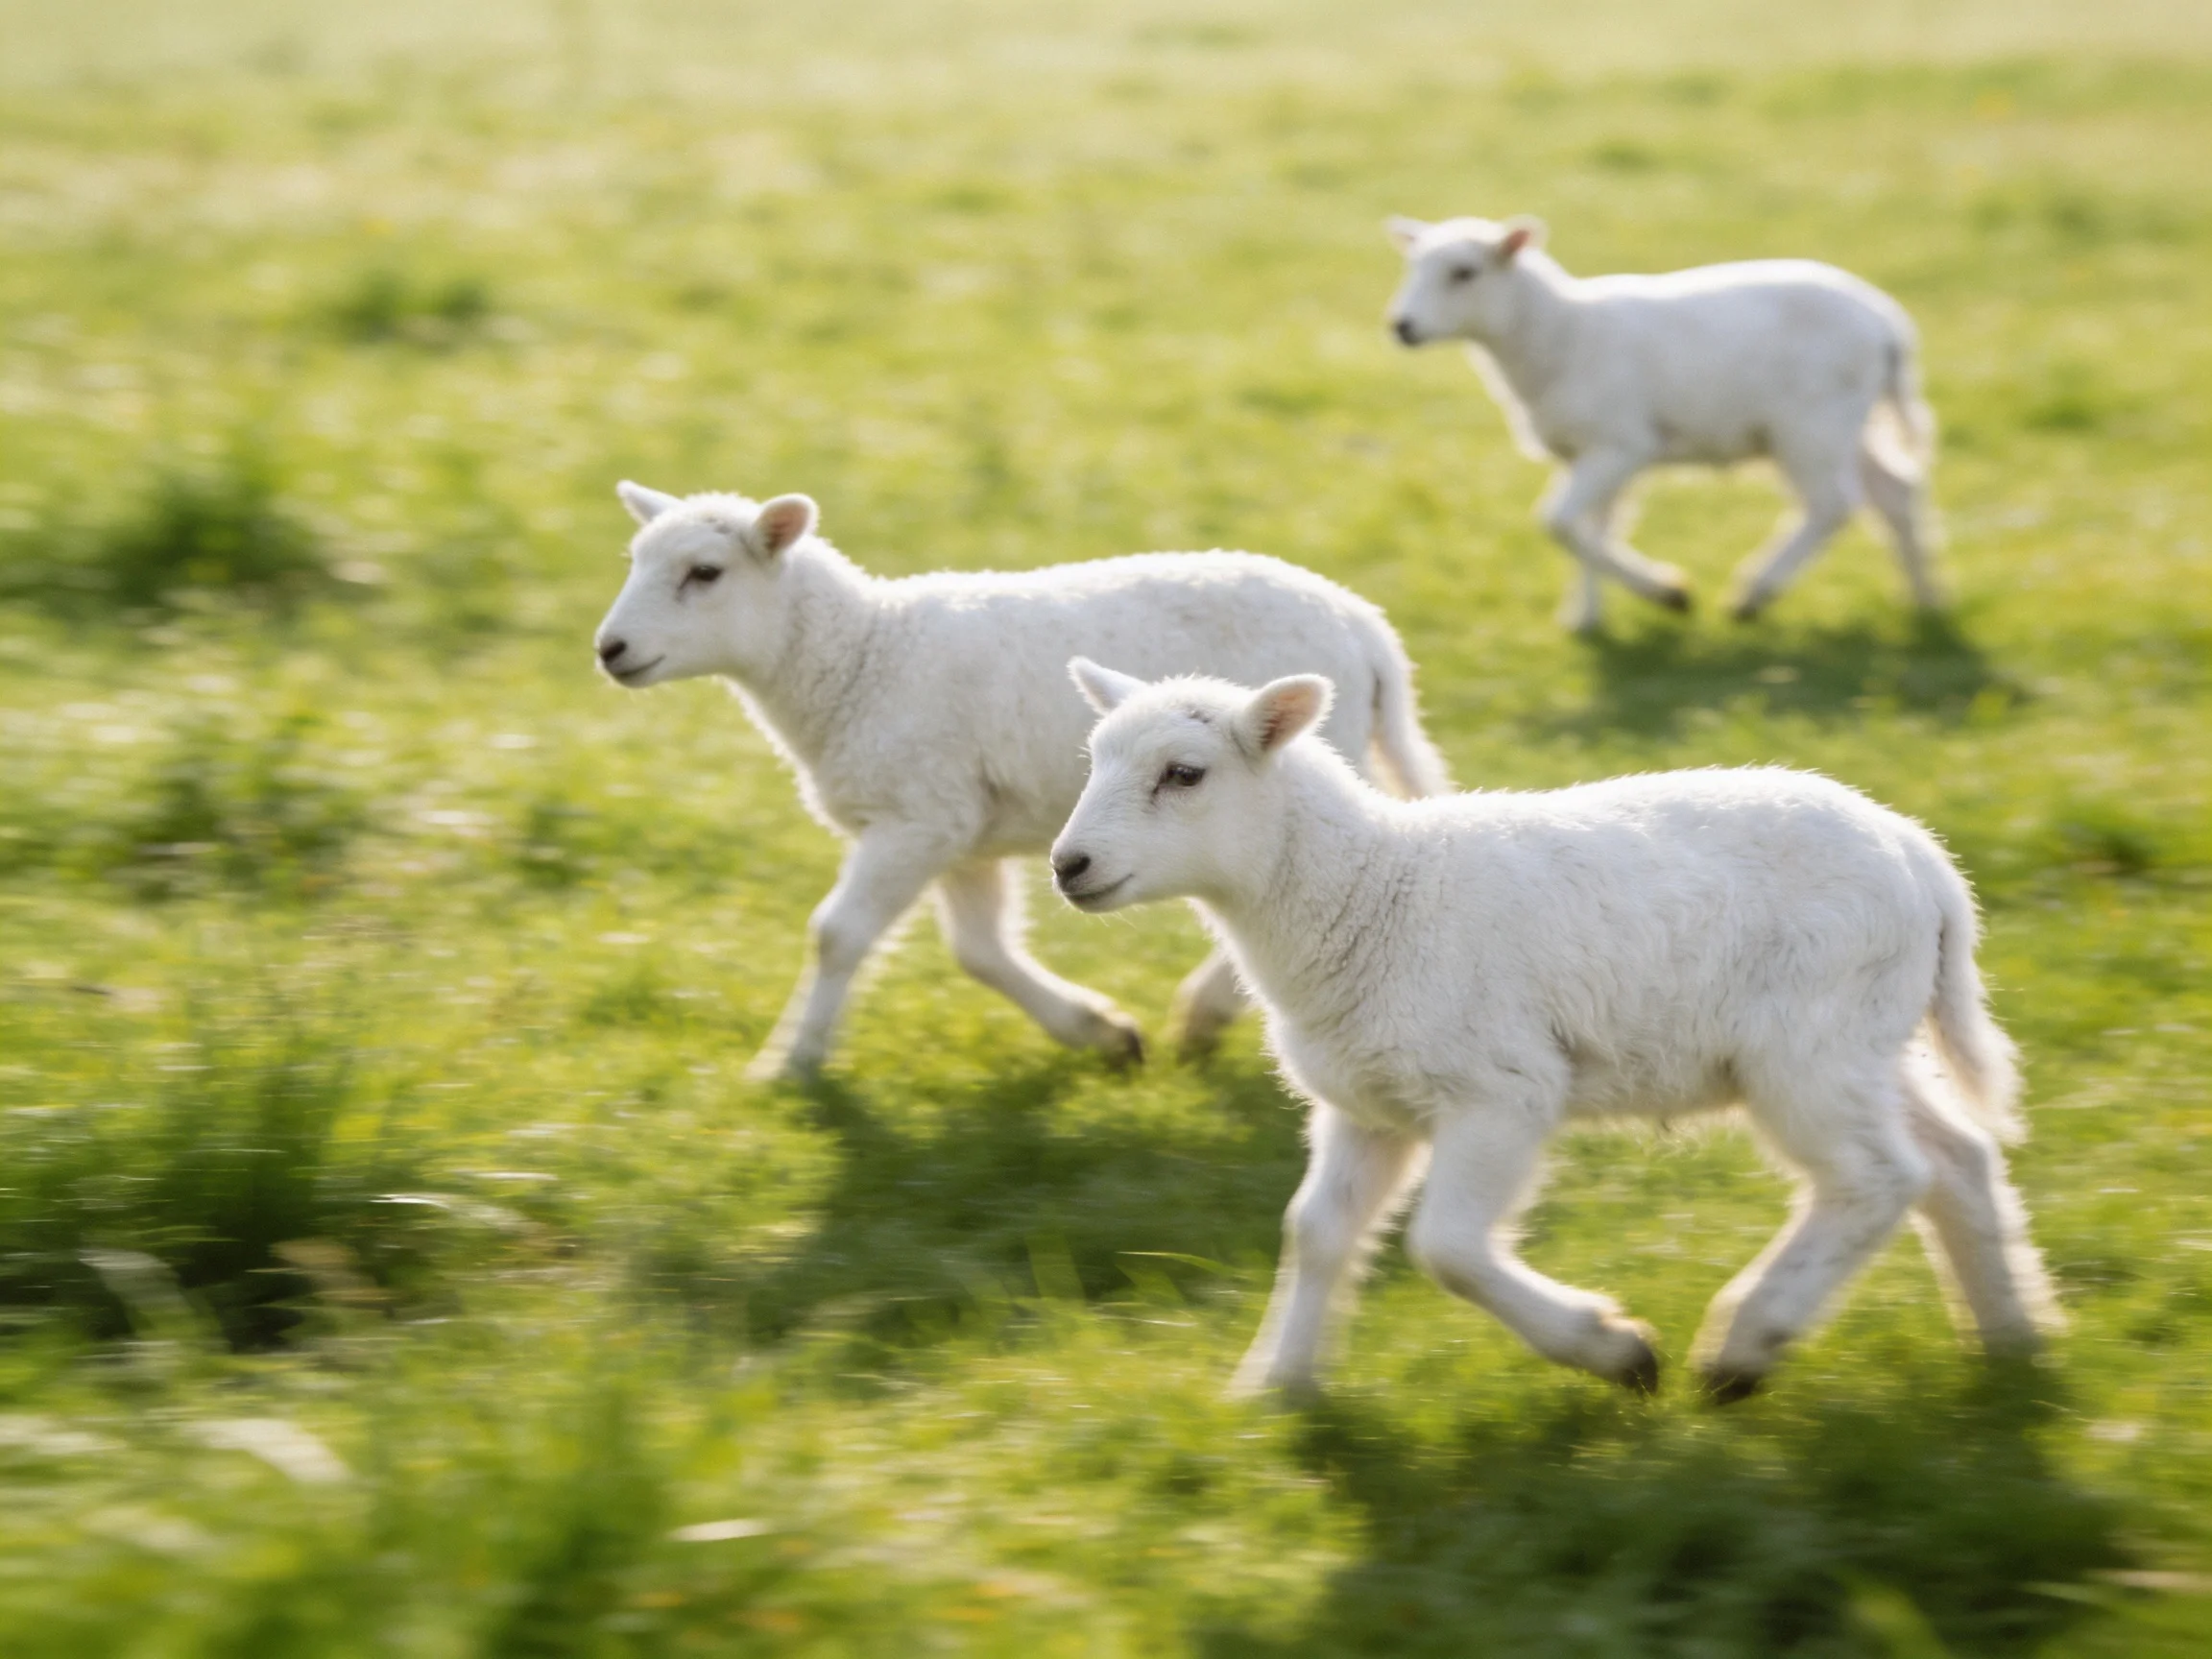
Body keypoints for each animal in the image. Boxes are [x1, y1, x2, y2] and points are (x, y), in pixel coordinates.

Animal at [591, 482, 1449, 1081]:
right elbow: (979, 951)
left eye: (705, 572)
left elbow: (836, 934)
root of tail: (1368, 628)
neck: (860, 656)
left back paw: (1204, 1014)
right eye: (631, 562)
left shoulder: (916, 814)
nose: (610, 649)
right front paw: (1099, 1033)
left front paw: (786, 1067)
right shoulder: (957, 828)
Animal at [1050, 661, 2059, 1399]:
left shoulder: (1502, 1092)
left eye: (1185, 774)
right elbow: (1317, 1232)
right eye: (1089, 758)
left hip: (1807, 1043)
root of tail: (1925, 860)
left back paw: (1745, 1343)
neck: (1371, 891)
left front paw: (1612, 1349)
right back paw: (2012, 1339)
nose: (1069, 865)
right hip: (1866, 1040)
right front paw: (1277, 1389)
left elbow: (1448, 1249)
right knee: (1955, 1159)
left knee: (1877, 1177)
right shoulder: (1367, 1106)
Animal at [1385, 214, 1943, 632]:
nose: (1402, 327)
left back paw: (1755, 594)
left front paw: (1666, 592)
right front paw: (1587, 617)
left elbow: (1559, 522)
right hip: (1852, 423)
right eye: (1412, 267)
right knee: (1896, 491)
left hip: (1813, 423)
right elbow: (1592, 527)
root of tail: (1887, 324)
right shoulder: (1584, 451)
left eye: (1465, 272)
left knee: (1833, 506)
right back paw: (1924, 599)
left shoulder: (1621, 444)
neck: (1561, 331)